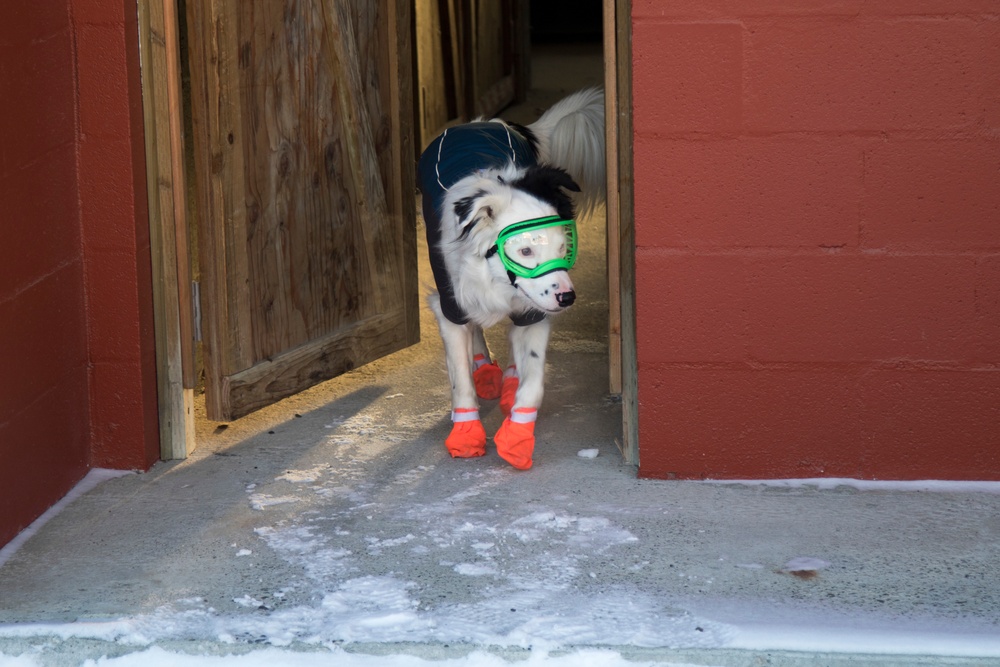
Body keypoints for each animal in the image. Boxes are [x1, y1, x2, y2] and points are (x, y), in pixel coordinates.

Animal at [414, 88, 600, 472]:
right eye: (525, 251)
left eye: (563, 247)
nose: (567, 298)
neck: (494, 278)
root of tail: (480, 122)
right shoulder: (449, 303)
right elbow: (459, 377)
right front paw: (466, 432)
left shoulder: (535, 310)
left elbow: (534, 379)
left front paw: (517, 436)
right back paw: (485, 368)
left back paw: (509, 380)